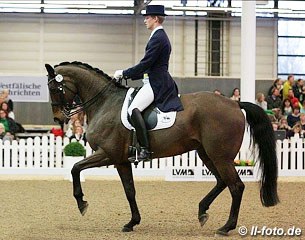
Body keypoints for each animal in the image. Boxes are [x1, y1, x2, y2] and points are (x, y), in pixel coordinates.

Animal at [45, 61, 278, 235]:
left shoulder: (107, 154)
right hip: (207, 154)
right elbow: (129, 190)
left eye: (54, 88)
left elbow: (75, 168)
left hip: (220, 156)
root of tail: (235, 104)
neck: (105, 103)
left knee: (236, 186)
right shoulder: (121, 161)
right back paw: (202, 211)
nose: (57, 118)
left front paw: (81, 203)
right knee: (222, 182)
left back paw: (226, 227)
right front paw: (132, 222)